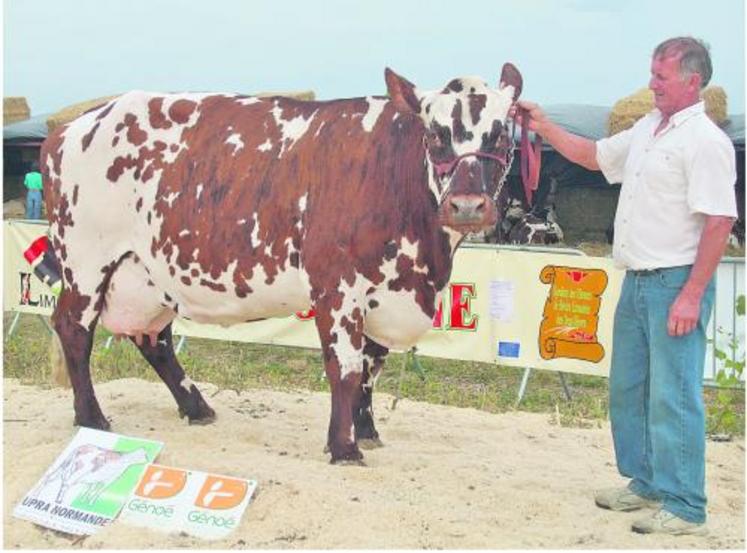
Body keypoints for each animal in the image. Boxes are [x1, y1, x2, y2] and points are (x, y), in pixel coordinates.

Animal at [45, 63, 524, 462]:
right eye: (436, 134)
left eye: (501, 135)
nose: (467, 206)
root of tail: (74, 125)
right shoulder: (338, 286)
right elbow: (346, 368)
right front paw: (344, 446)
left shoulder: (384, 290)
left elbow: (372, 364)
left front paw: (367, 430)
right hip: (86, 263)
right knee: (74, 329)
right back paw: (91, 417)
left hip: (148, 275)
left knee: (153, 339)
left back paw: (196, 406)